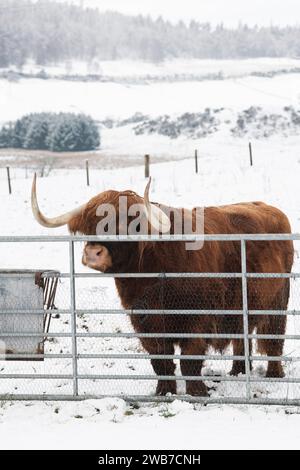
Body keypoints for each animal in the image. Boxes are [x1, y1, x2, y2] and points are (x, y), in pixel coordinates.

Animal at [31, 174, 294, 394]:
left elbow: (189, 360)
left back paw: (274, 375)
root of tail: (274, 211)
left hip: (278, 301)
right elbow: (161, 360)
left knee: (274, 339)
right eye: (89, 226)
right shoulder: (145, 322)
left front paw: (197, 392)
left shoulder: (197, 321)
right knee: (242, 337)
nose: (93, 253)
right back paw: (238, 371)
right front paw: (164, 391)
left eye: (125, 224)